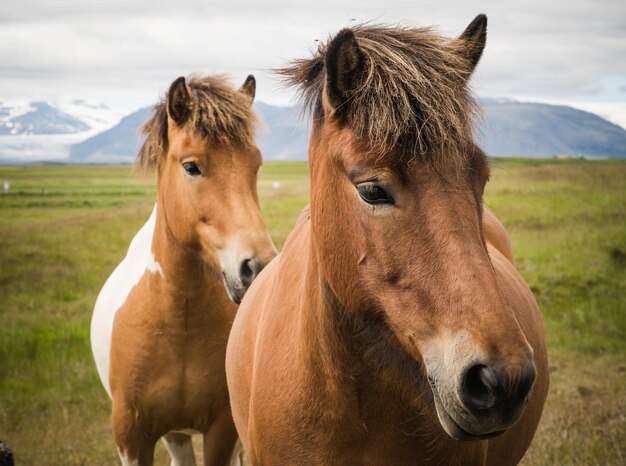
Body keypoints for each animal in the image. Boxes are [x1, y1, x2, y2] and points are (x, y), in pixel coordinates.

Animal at [91, 74, 276, 464]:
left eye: (255, 164)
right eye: (191, 166)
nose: (257, 267)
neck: (178, 322)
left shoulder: (223, 430)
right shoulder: (131, 437)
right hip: (174, 433)